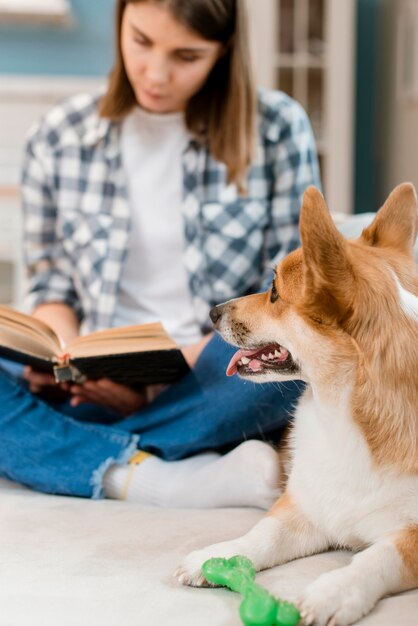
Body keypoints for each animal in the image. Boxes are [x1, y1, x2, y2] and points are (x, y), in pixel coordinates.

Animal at [176, 182, 418, 624]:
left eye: (274, 291)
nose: (213, 312)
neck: (343, 413)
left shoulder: (409, 539)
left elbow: (380, 557)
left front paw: (334, 591)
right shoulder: (305, 507)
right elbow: (264, 533)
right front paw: (218, 556)